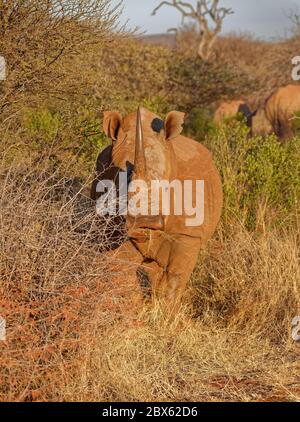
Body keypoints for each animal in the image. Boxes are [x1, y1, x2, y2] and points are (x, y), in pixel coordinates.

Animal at [92, 107, 223, 314]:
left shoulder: (189, 235)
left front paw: (166, 315)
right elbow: (121, 270)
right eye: (121, 185)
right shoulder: (113, 230)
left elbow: (175, 276)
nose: (145, 220)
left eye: (165, 185)